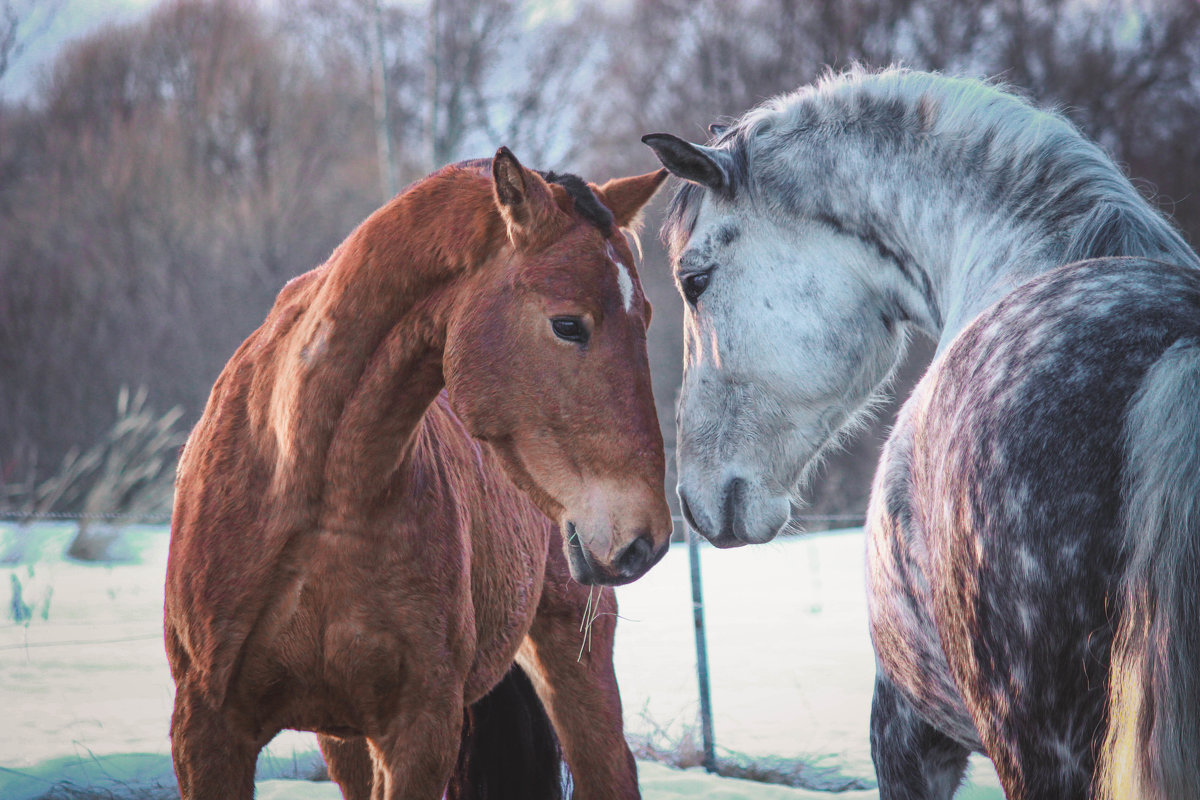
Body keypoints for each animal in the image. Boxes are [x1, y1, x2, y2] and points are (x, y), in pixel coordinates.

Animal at [166, 149, 676, 800]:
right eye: (567, 325)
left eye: (647, 319)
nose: (646, 539)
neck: (320, 496)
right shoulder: (207, 732)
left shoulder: (420, 732)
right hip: (344, 738)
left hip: (573, 661)